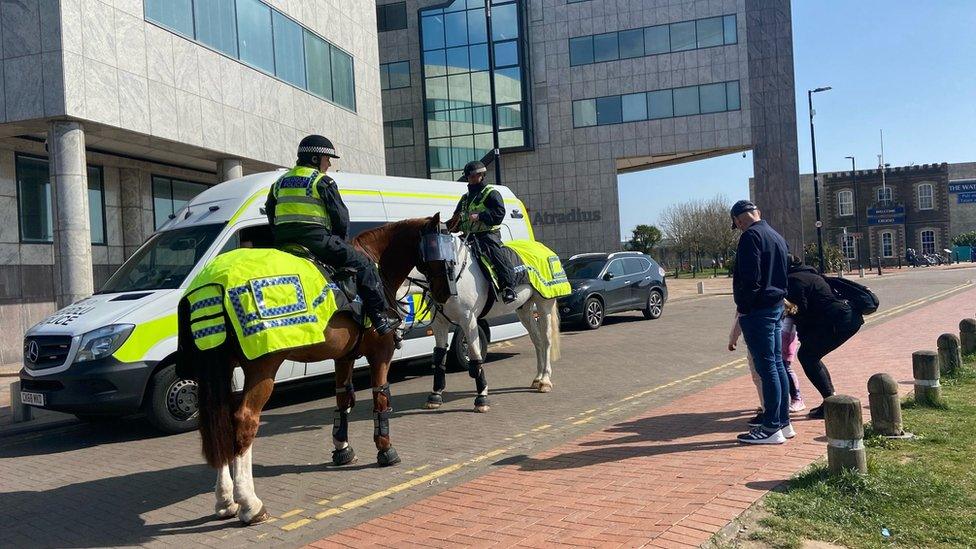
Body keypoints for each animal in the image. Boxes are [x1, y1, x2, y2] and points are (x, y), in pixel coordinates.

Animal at [178, 216, 438, 524]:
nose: (446, 293)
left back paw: (225, 500)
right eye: (441, 250)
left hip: (221, 369)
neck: (376, 264)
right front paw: (385, 449)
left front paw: (342, 449)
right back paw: (250, 504)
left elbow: (343, 400)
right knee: (244, 421)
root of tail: (214, 280)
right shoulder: (380, 353)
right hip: (262, 367)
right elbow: (381, 398)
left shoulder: (343, 357)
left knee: (222, 423)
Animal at [418, 214, 560, 412]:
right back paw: (537, 379)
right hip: (524, 309)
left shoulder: (468, 320)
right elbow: (439, 356)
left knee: (546, 341)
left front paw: (482, 398)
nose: (441, 293)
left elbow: (475, 354)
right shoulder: (439, 322)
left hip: (544, 304)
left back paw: (545, 381)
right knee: (537, 340)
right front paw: (435, 395)